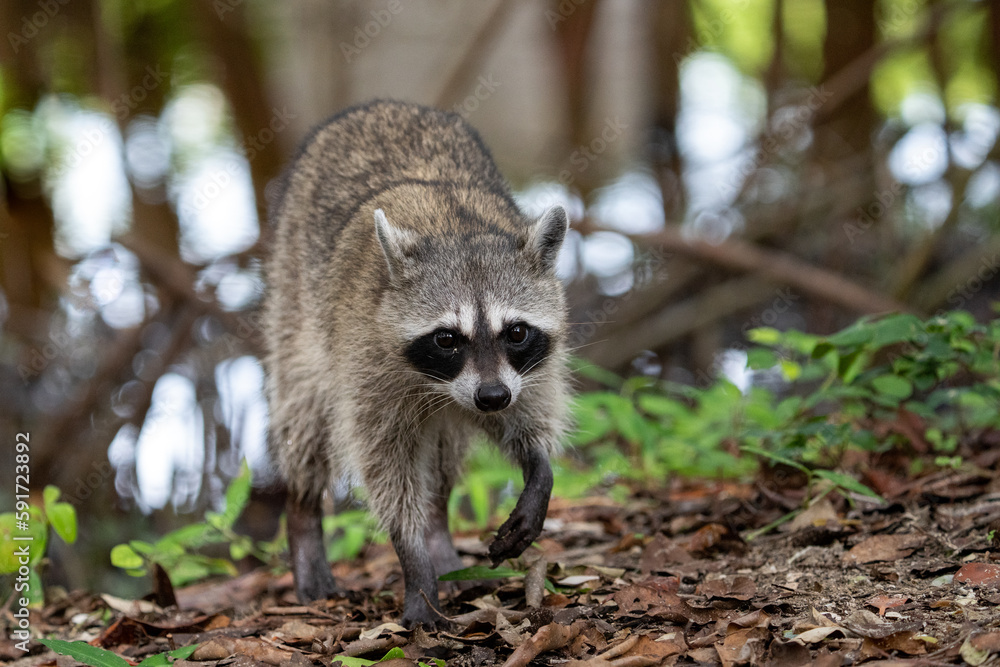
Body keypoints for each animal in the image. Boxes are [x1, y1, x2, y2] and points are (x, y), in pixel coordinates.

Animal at [263, 100, 569, 628]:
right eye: (447, 339)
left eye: (515, 332)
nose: (492, 397)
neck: (457, 228)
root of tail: (382, 104)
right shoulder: (364, 360)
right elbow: (385, 469)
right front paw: (414, 563)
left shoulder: (525, 370)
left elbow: (529, 413)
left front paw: (538, 466)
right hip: (294, 305)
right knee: (303, 422)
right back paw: (303, 518)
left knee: (443, 459)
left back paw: (438, 530)